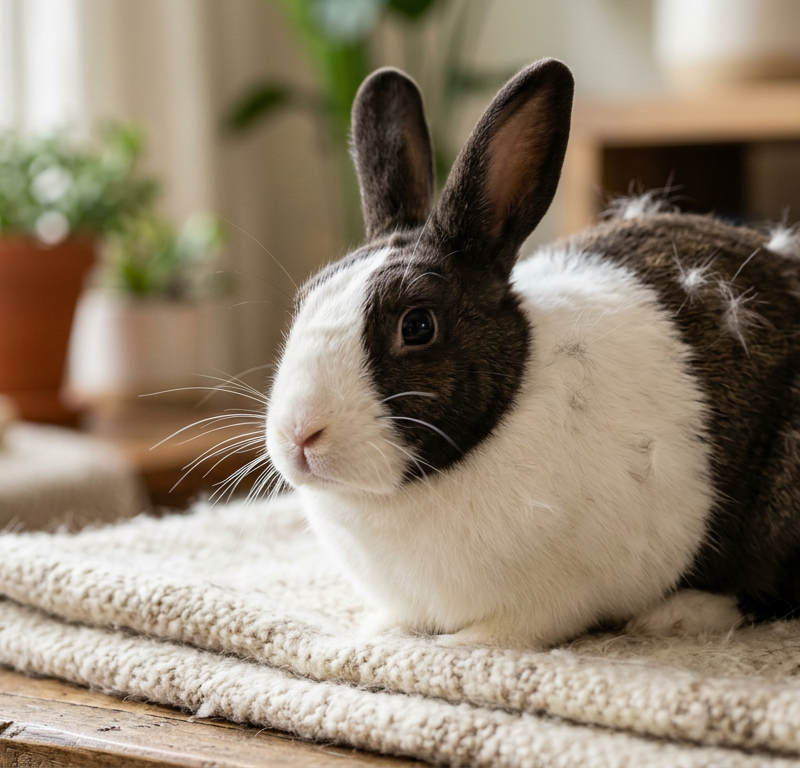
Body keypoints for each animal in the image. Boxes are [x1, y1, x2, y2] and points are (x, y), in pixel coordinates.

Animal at [265, 58, 800, 648]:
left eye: (418, 325)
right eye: (304, 301)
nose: (299, 435)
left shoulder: (550, 604)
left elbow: (500, 634)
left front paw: (453, 647)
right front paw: (380, 633)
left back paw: (678, 615)